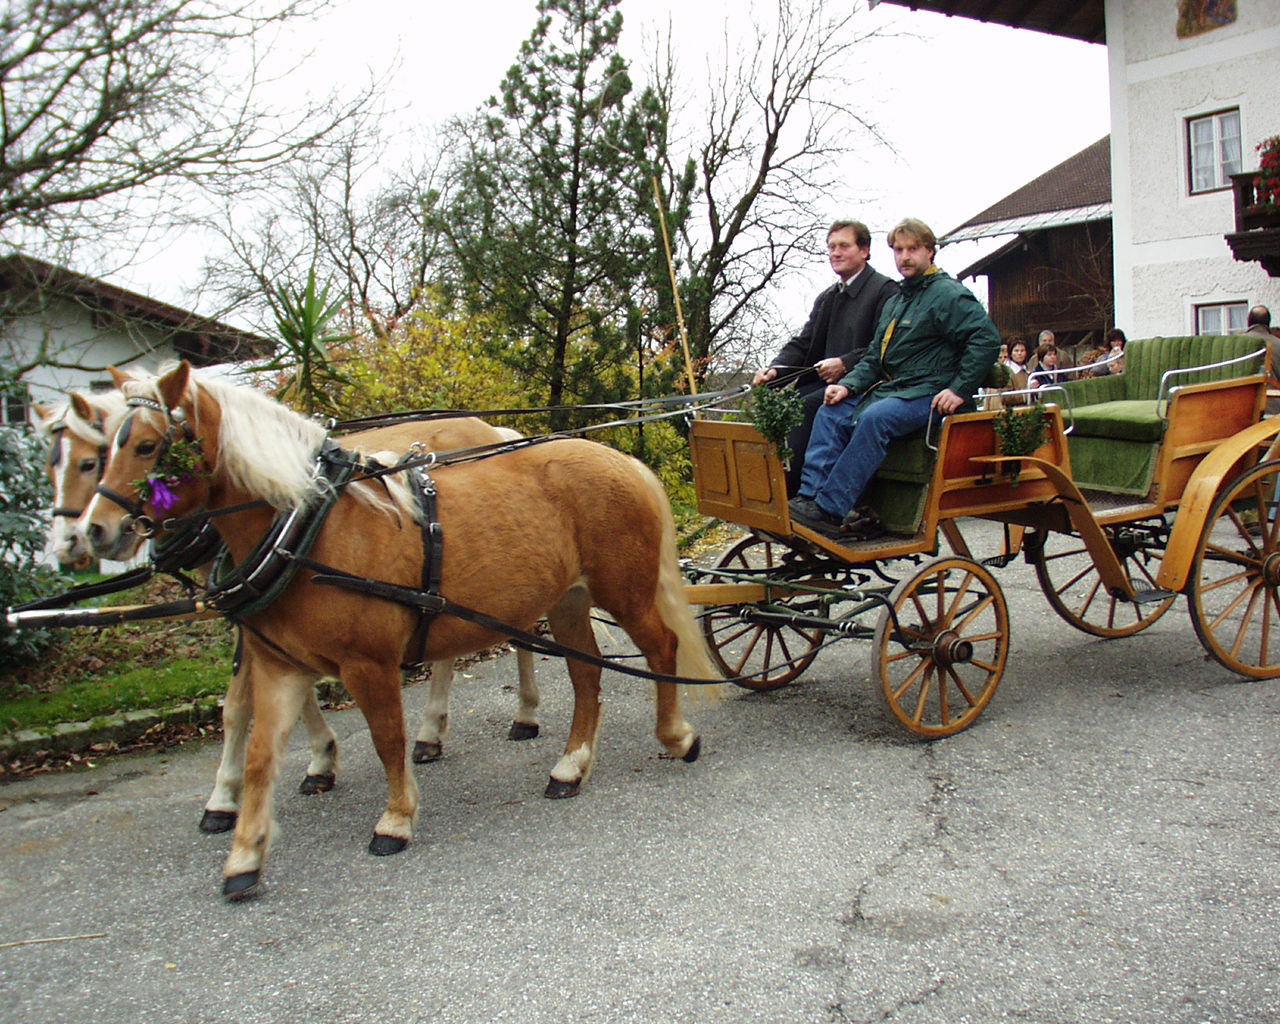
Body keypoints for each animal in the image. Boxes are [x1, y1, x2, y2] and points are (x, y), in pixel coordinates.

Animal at [83, 361, 716, 899]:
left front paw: (396, 818)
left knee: (661, 647)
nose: (96, 530)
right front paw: (245, 853)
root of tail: (620, 459)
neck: (309, 530)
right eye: (103, 447)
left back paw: (676, 736)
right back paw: (571, 766)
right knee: (587, 676)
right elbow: (261, 753)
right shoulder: (279, 666)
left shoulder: (368, 664)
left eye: (147, 444)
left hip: (623, 592)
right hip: (566, 601)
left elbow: (387, 737)